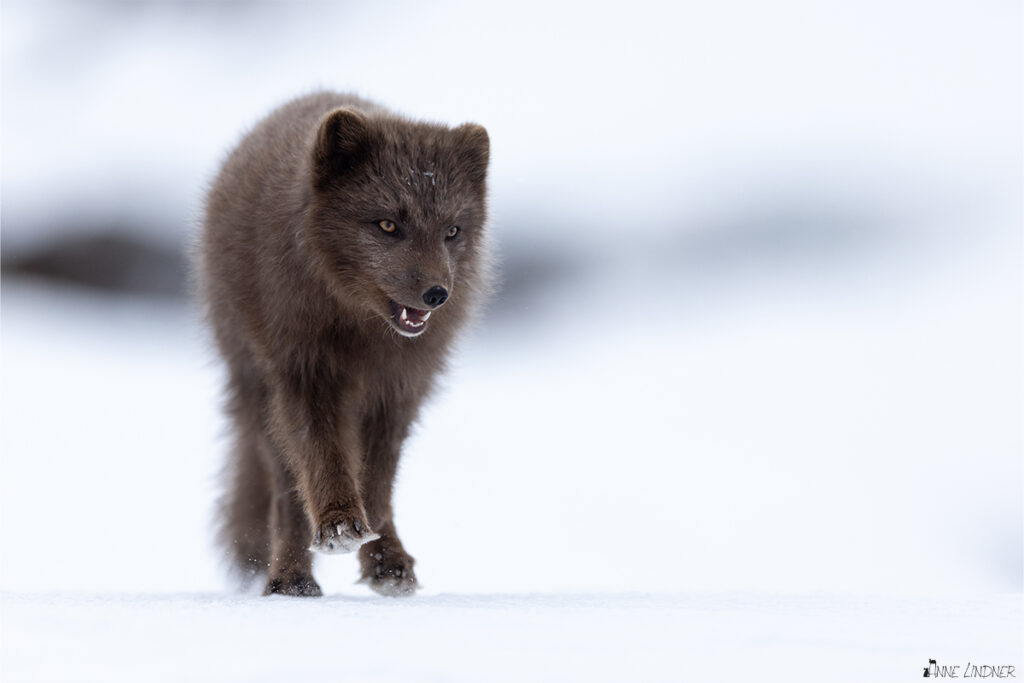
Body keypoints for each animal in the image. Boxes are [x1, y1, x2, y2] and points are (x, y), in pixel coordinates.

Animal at [198, 92, 491, 598]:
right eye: (388, 225)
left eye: (452, 231)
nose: (438, 294)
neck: (361, 328)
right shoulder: (303, 370)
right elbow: (322, 456)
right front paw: (338, 525)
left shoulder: (399, 390)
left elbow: (378, 481)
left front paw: (385, 559)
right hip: (257, 385)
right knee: (284, 487)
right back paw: (290, 579)